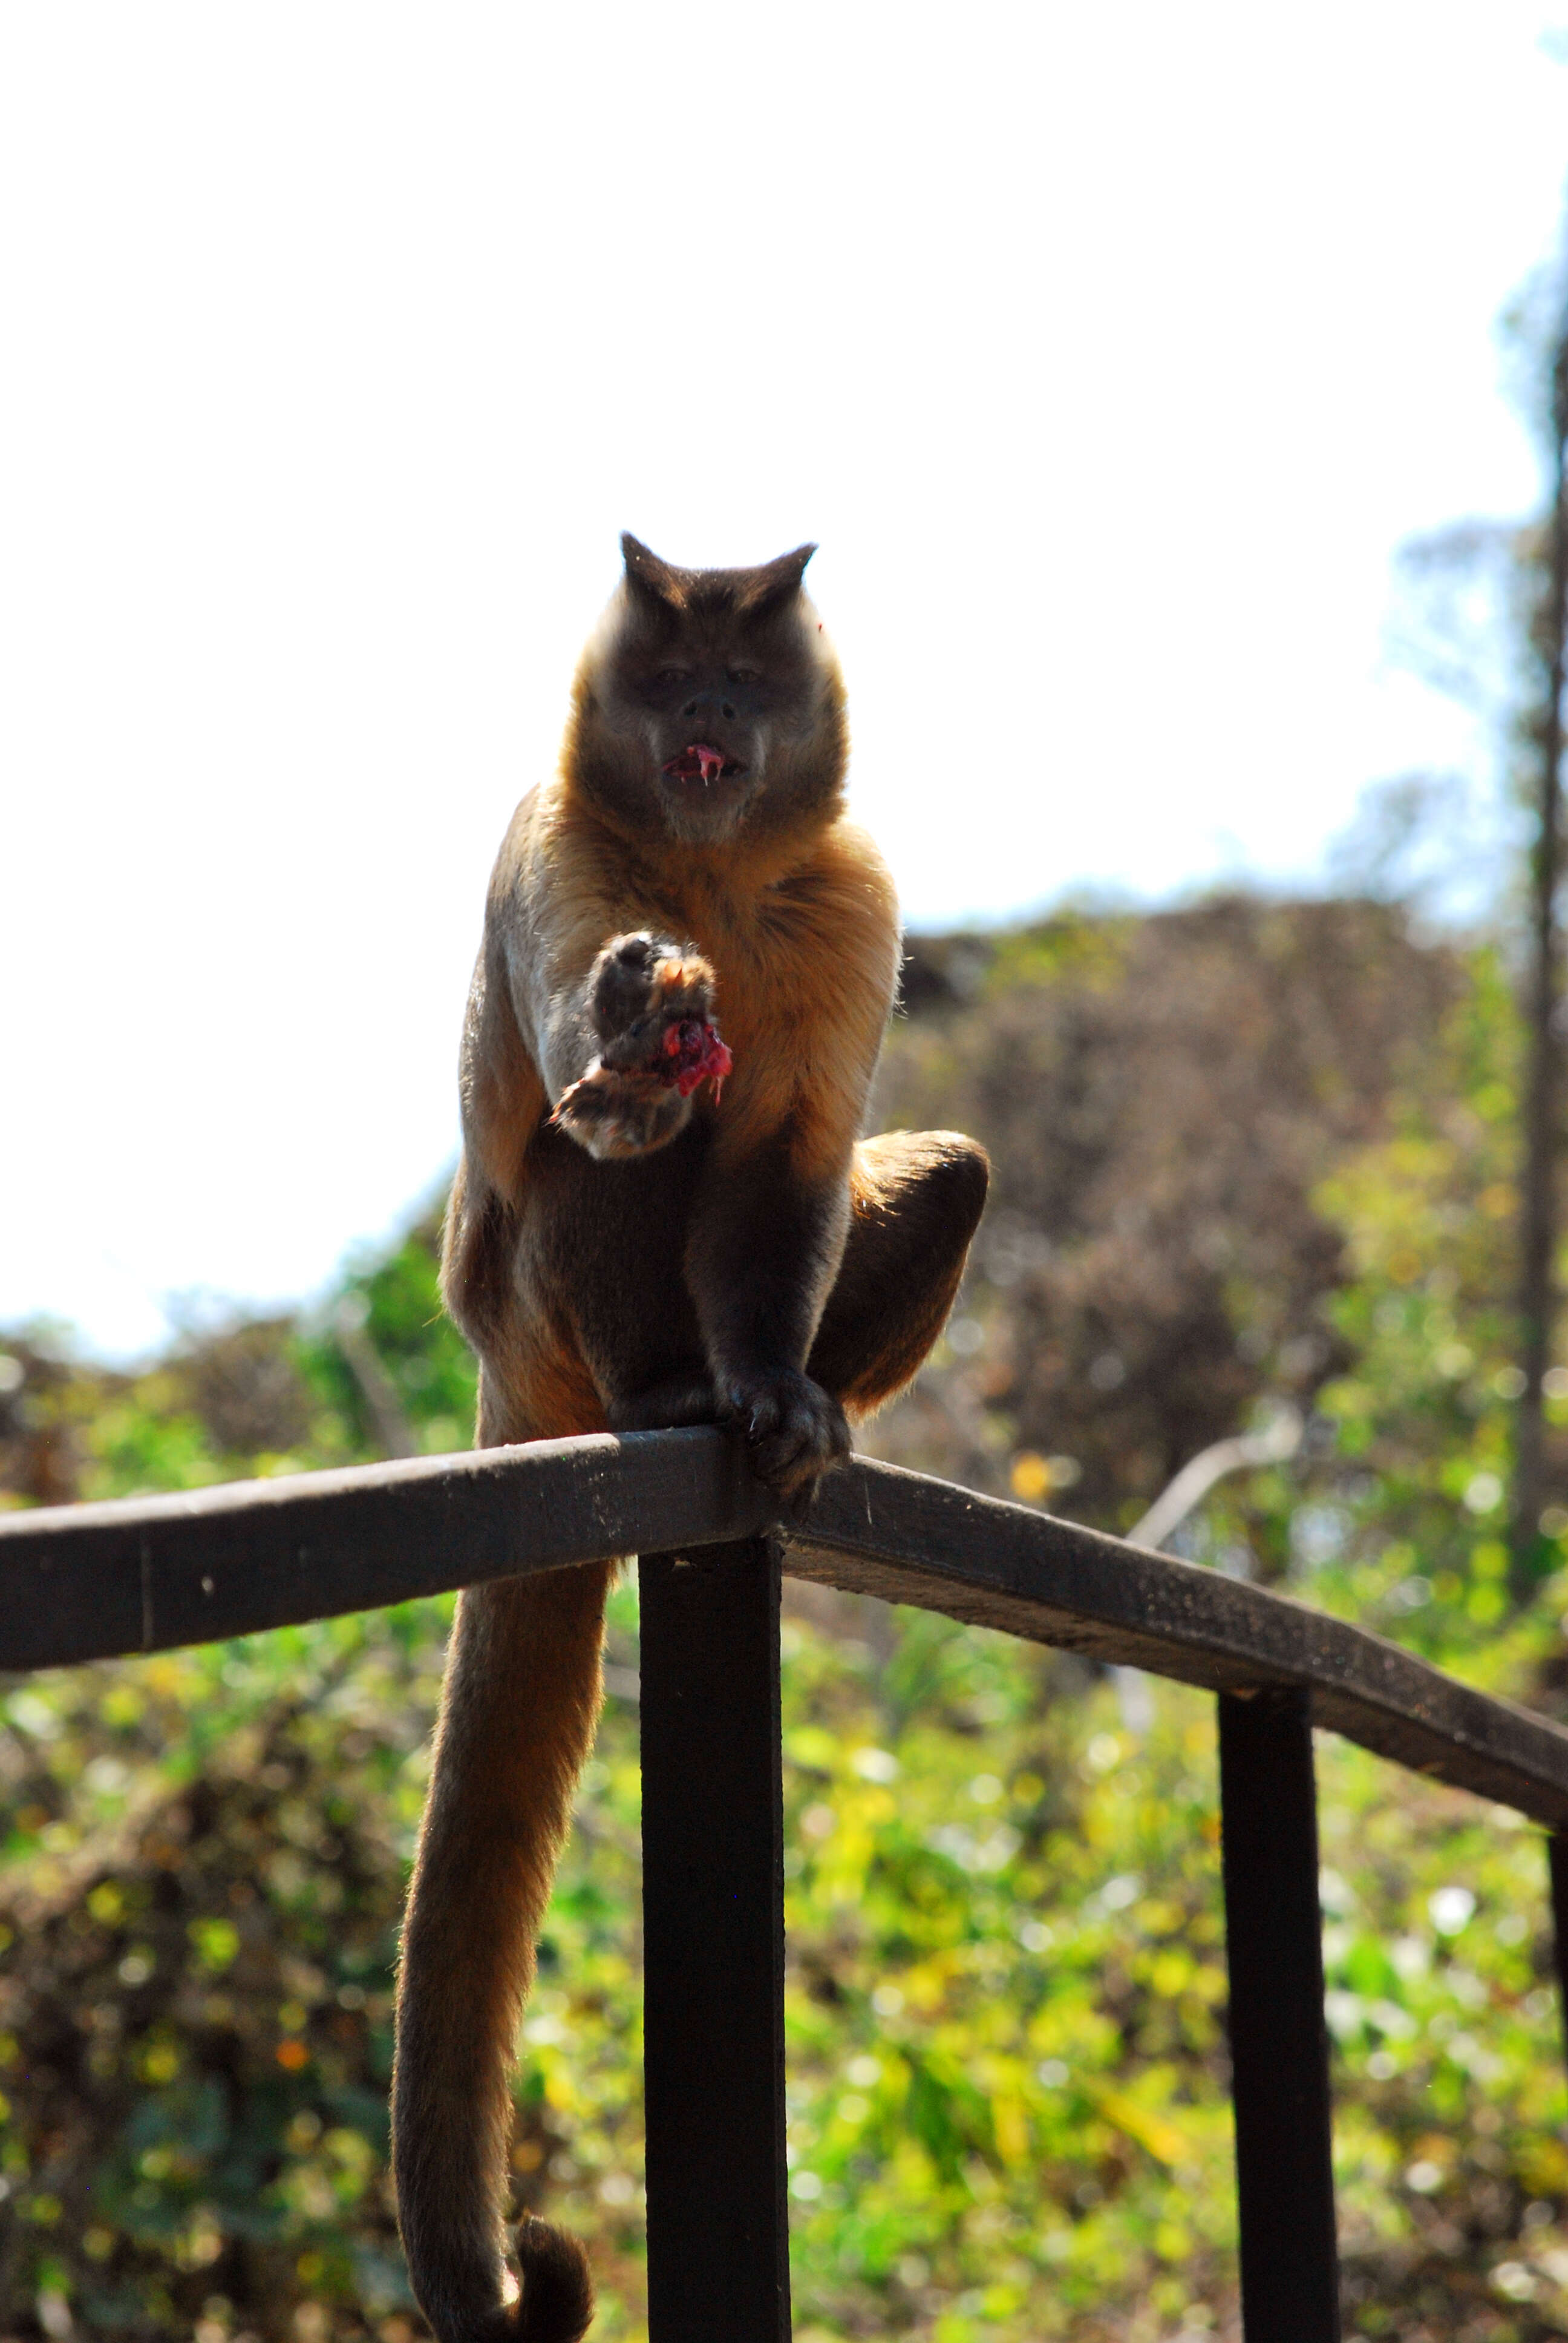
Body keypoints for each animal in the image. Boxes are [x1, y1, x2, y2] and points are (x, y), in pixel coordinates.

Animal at [393, 536, 979, 2343]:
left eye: (742, 677)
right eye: (667, 679)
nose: (706, 716)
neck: (710, 870)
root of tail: (504, 1364)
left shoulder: (854, 888)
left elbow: (789, 1159)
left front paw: (780, 1390)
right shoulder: (558, 848)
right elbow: (618, 1094)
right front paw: (638, 1027)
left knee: (938, 1175)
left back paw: (793, 1411)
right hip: (518, 1299)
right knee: (590, 1160)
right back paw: (664, 1392)